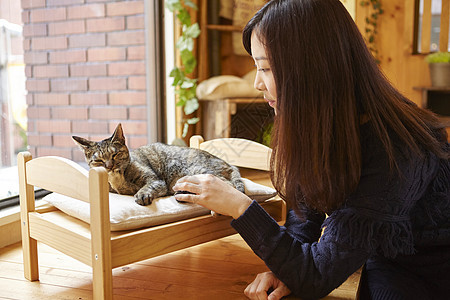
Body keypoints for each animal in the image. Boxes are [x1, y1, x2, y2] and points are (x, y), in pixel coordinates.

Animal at [72, 123, 244, 205]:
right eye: (98, 160)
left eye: (115, 154)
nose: (109, 166)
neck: (117, 180)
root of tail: (229, 165)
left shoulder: (155, 180)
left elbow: (147, 187)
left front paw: (142, 195)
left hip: (200, 171)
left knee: (227, 186)